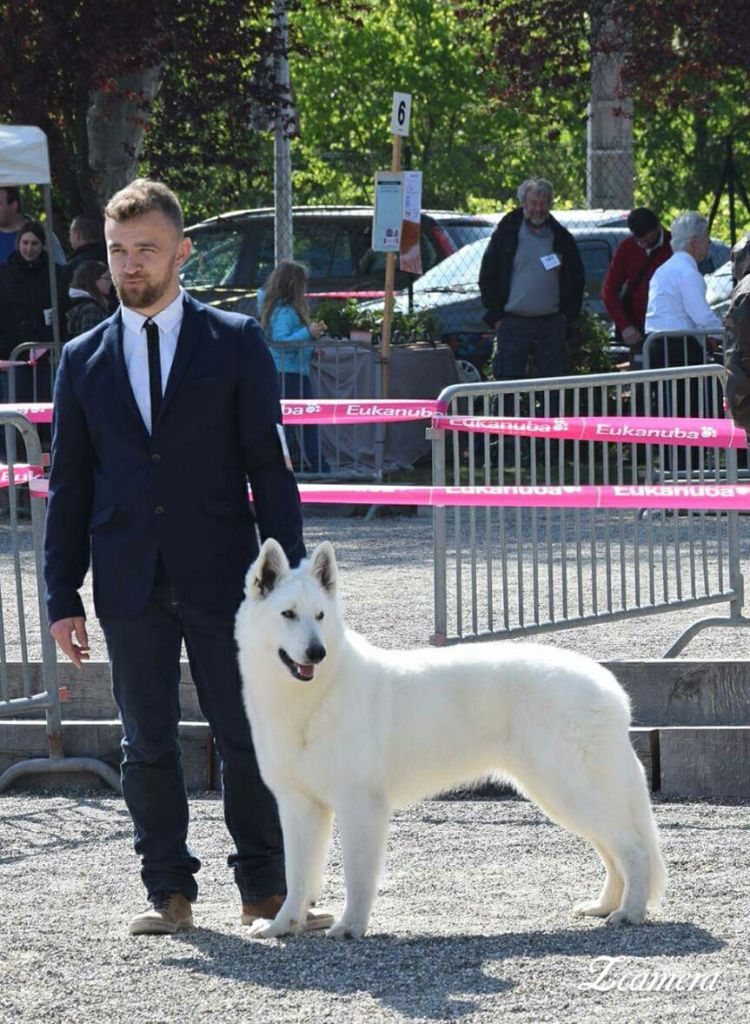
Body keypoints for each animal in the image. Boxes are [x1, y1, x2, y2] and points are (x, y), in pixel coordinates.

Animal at [237, 540, 663, 937]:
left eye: (320, 616)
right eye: (288, 614)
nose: (317, 652)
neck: (315, 694)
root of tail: (610, 688)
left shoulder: (359, 805)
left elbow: (357, 877)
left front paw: (350, 927)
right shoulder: (299, 807)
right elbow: (297, 877)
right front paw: (282, 926)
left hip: (570, 793)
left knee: (633, 850)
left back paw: (631, 912)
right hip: (564, 797)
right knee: (615, 853)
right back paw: (605, 907)